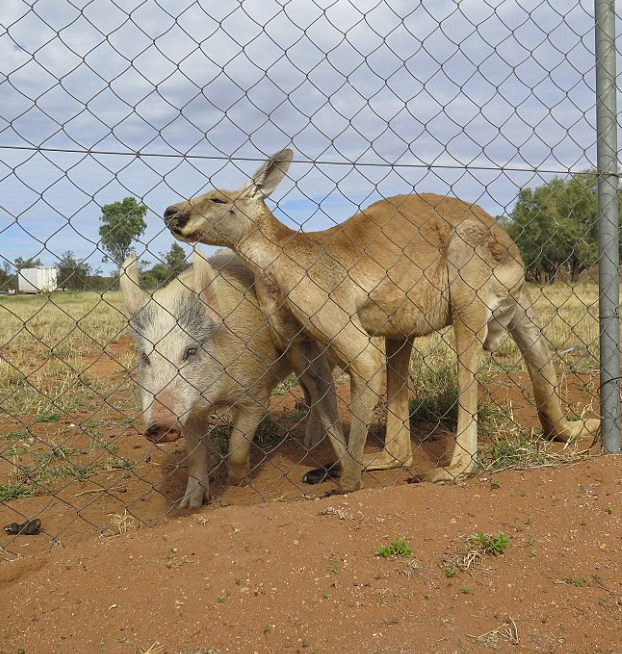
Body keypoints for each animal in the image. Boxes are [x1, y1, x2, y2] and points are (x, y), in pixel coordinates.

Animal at [119, 249, 338, 510]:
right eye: (145, 356)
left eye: (190, 351)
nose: (159, 424)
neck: (218, 399)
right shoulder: (190, 411)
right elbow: (196, 456)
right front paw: (190, 504)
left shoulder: (255, 392)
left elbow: (237, 446)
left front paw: (238, 483)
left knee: (323, 388)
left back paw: (311, 442)